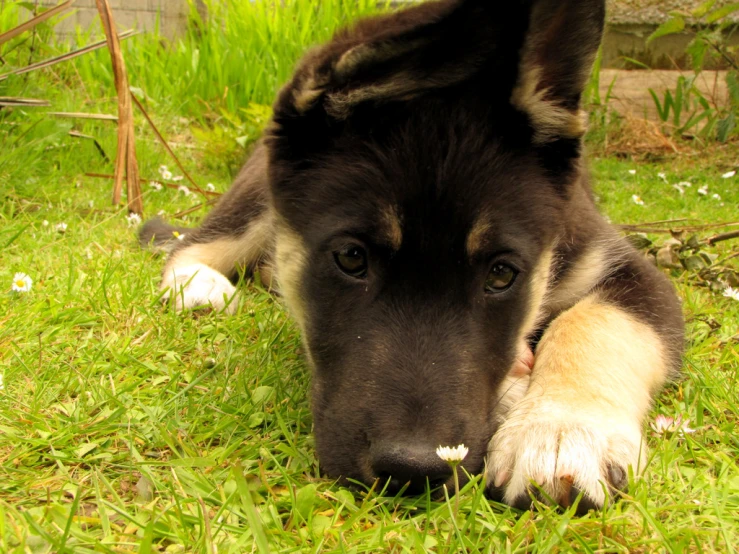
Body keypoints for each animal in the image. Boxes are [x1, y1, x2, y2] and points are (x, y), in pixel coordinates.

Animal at [142, 0, 684, 512]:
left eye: (502, 274)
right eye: (351, 258)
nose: (413, 470)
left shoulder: (626, 268)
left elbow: (596, 324)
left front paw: (559, 430)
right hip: (256, 198)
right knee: (195, 242)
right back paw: (200, 286)